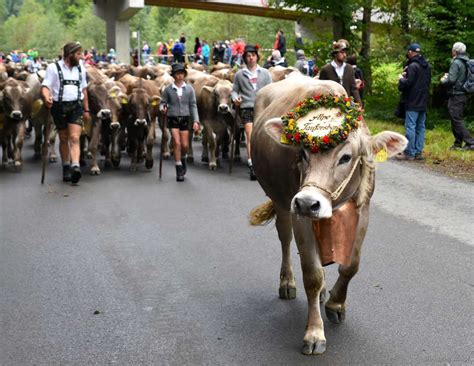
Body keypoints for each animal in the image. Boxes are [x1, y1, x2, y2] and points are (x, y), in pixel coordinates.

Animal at [248, 76, 408, 354]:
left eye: (346, 157)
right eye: (302, 152)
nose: (306, 202)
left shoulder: (363, 211)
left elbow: (351, 265)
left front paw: (336, 304)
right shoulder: (300, 215)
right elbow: (312, 274)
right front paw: (314, 333)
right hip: (281, 201)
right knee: (285, 238)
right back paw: (287, 282)